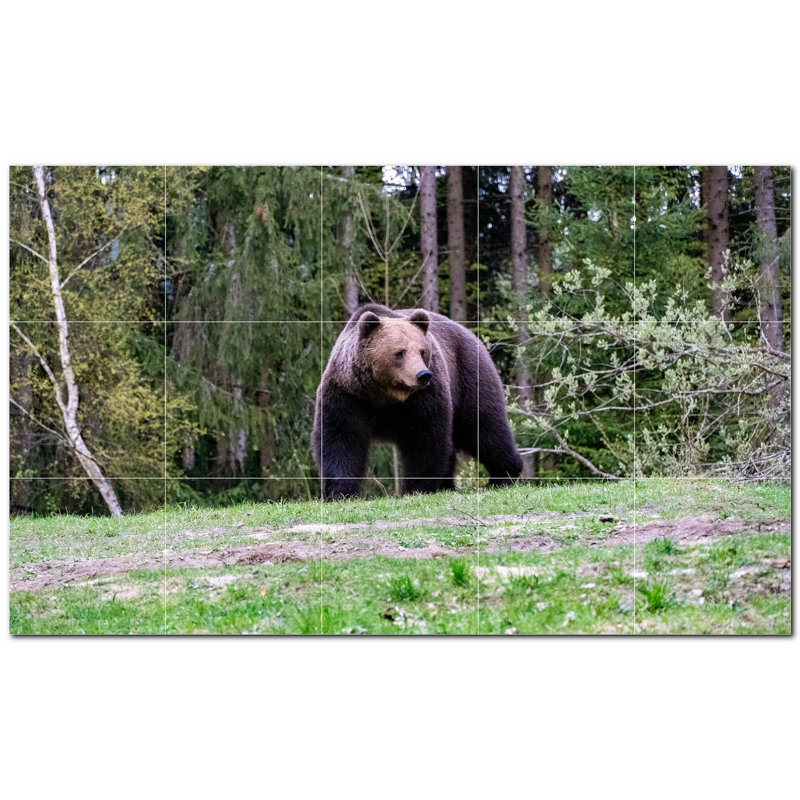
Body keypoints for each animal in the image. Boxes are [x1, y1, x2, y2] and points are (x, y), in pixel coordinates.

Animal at [313, 303, 522, 499]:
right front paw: (340, 492)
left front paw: (416, 487)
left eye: (422, 351)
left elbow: (425, 436)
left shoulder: (423, 396)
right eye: (400, 352)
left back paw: (503, 475)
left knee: (483, 428)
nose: (423, 375)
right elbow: (341, 437)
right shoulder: (348, 393)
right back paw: (448, 484)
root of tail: (471, 334)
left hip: (468, 378)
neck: (384, 393)